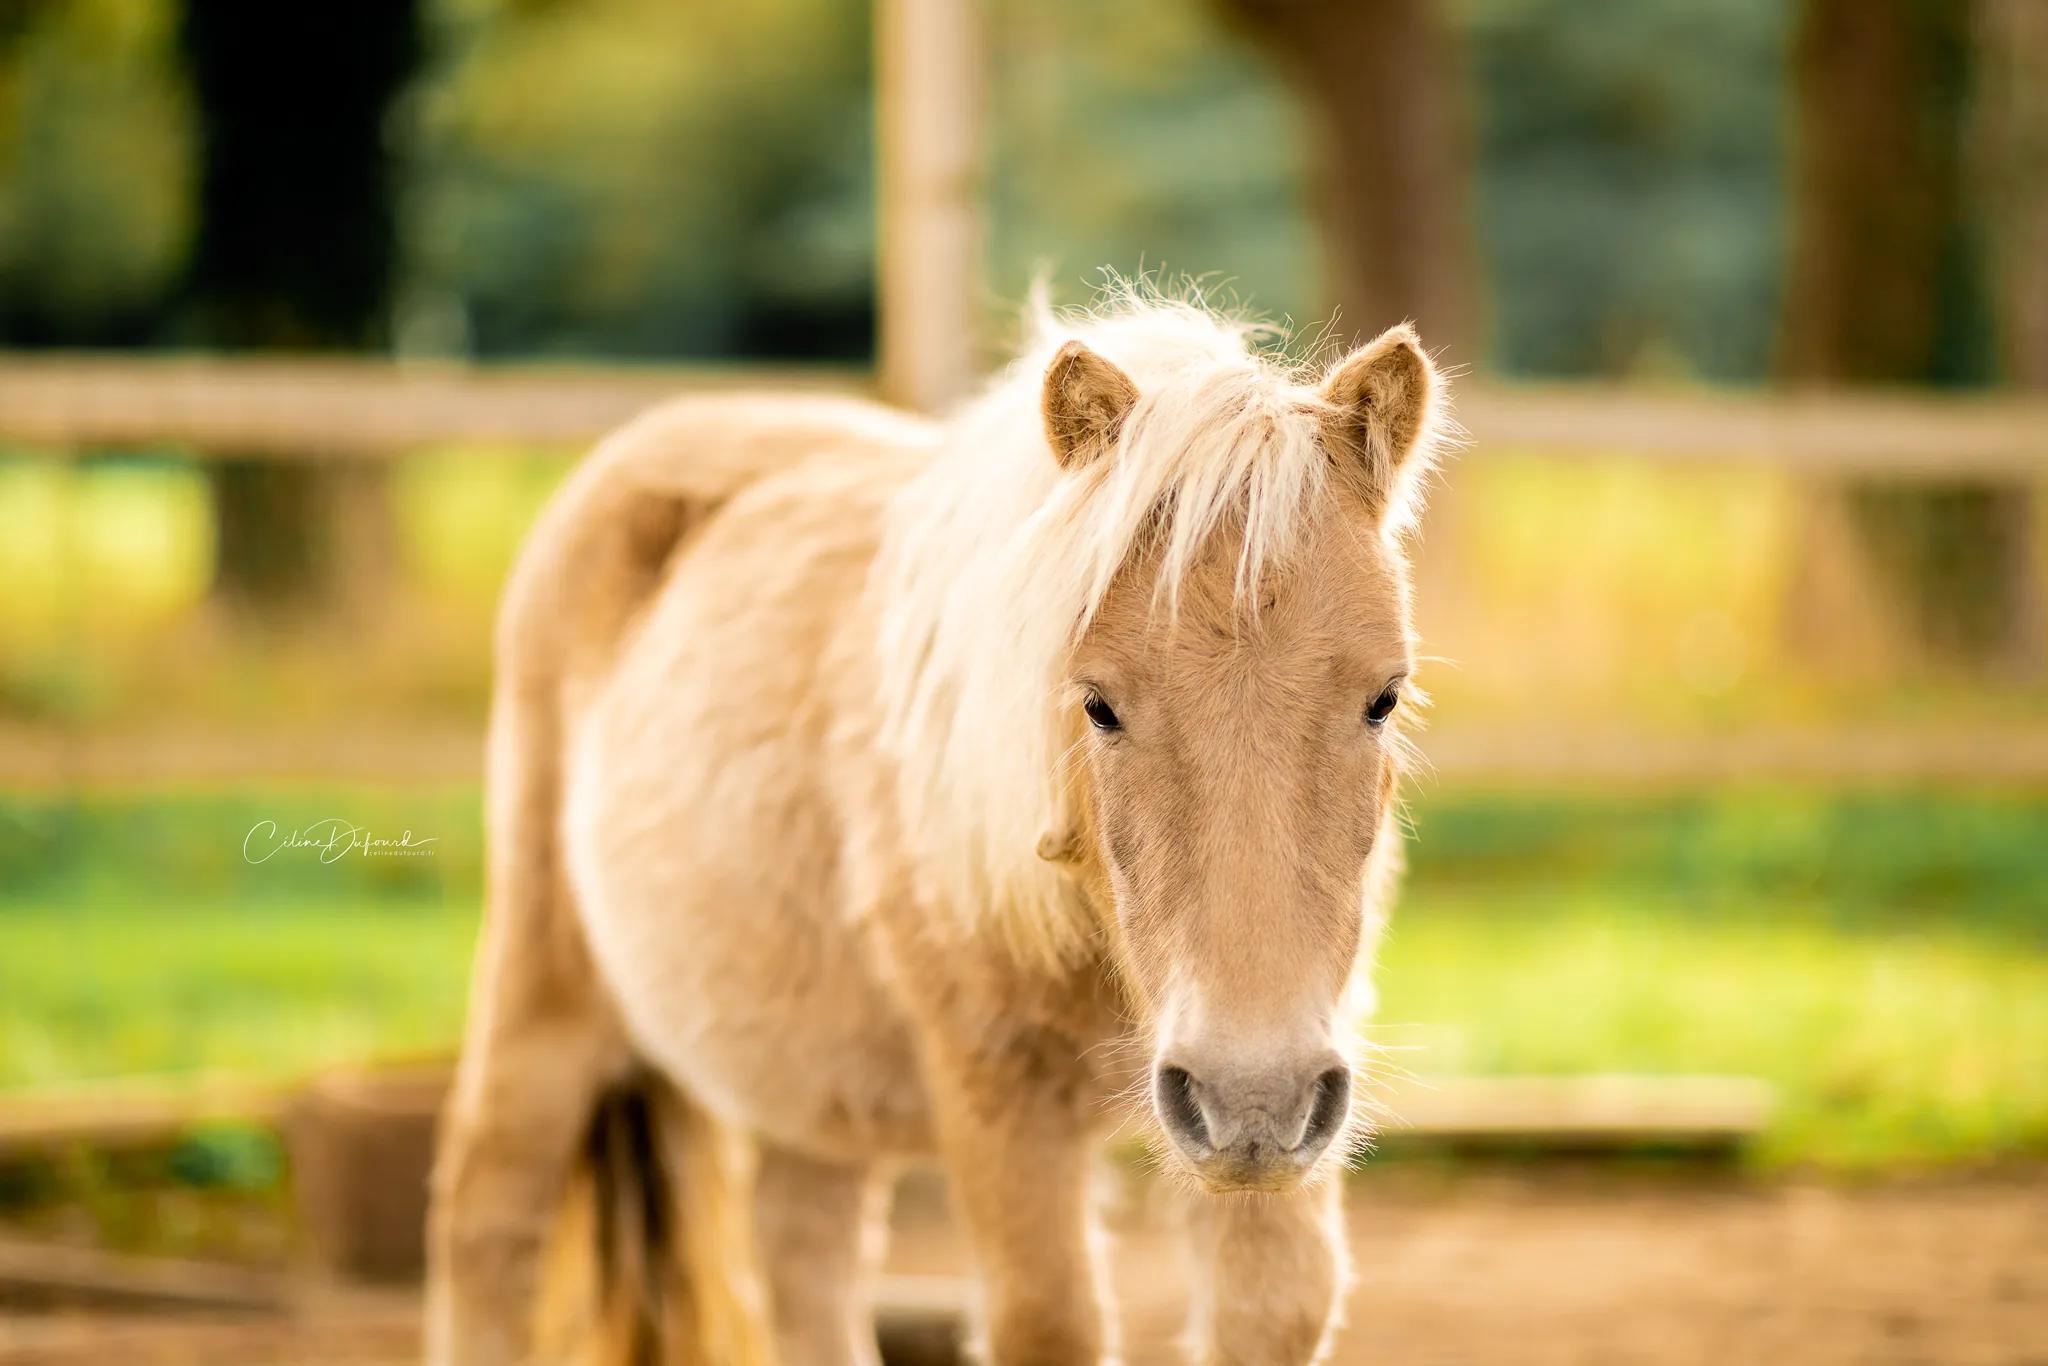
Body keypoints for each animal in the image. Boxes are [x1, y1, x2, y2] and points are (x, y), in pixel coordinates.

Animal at [425, 291, 1448, 1366]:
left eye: (1385, 696)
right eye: (1097, 704)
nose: (1251, 1101)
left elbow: (1274, 1308)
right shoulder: (999, 1095)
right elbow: (1048, 1320)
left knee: (804, 1255)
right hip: (544, 995)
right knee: (489, 1212)